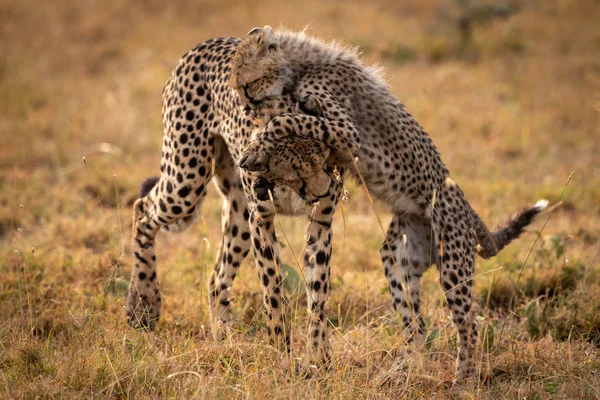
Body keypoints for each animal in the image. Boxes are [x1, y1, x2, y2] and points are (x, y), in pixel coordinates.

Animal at [233, 26, 548, 382]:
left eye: (247, 86)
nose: (246, 108)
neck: (303, 63)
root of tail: (469, 211)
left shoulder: (346, 131)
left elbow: (285, 122)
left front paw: (256, 148)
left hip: (453, 263)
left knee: (468, 324)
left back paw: (463, 378)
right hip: (398, 257)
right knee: (416, 324)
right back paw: (405, 369)